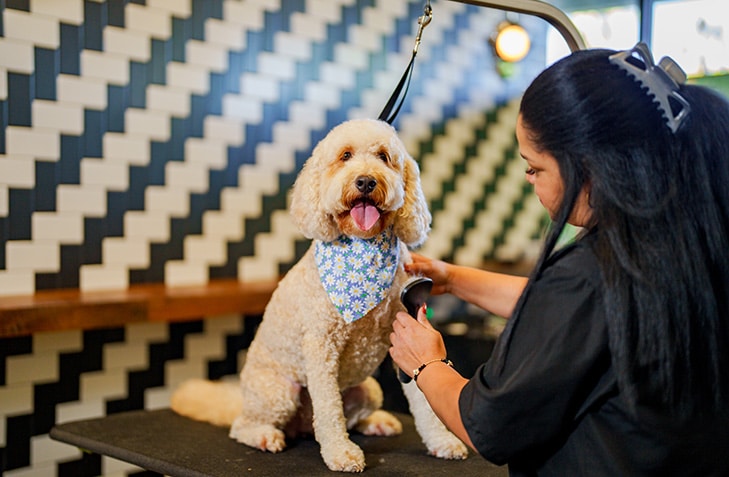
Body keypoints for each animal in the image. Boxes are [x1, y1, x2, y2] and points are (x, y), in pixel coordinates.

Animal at [171, 120, 466, 472]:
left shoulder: (406, 335)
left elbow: (425, 396)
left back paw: (376, 422)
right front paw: (341, 452)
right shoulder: (321, 346)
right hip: (278, 391)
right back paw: (264, 435)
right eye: (345, 156)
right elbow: (329, 408)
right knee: (243, 425)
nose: (365, 181)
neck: (363, 247)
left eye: (383, 157)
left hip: (368, 390)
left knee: (348, 416)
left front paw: (442, 441)